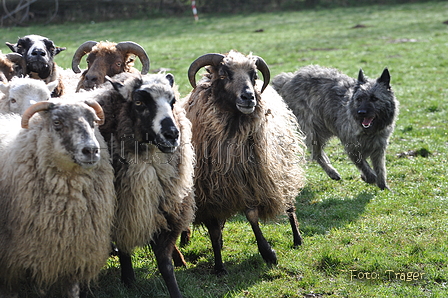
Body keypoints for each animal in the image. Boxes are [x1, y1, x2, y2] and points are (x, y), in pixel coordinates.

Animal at [181, 50, 304, 274]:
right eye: (223, 74)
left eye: (254, 76)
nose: (249, 97)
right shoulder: (208, 195)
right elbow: (213, 230)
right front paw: (219, 266)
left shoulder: (250, 181)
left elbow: (252, 216)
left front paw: (268, 253)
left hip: (281, 168)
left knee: (289, 203)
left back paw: (297, 238)